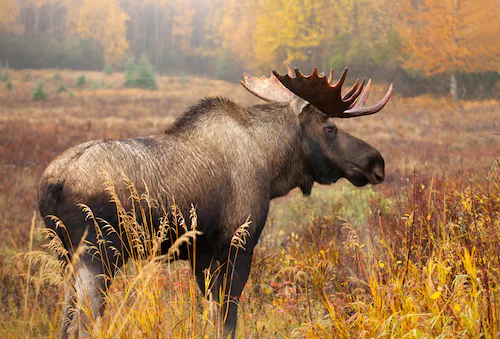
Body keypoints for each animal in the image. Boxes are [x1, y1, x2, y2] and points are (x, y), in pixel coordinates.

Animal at [37, 65, 392, 338]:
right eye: (330, 128)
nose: (377, 162)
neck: (271, 166)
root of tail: (50, 185)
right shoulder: (238, 245)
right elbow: (228, 319)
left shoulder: (200, 254)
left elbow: (211, 315)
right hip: (98, 253)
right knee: (82, 325)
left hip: (67, 256)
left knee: (64, 321)